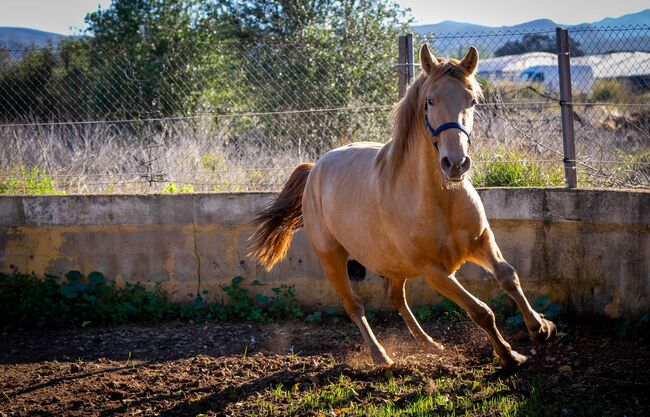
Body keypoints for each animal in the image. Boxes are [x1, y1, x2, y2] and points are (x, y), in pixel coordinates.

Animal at [251, 44, 556, 366]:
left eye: (472, 100)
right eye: (430, 100)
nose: (455, 163)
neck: (440, 198)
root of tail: (315, 169)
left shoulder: (482, 241)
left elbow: (509, 277)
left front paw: (541, 327)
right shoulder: (435, 271)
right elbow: (481, 310)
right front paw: (510, 355)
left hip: (395, 265)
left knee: (397, 297)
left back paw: (432, 344)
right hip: (332, 259)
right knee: (354, 305)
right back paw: (381, 356)